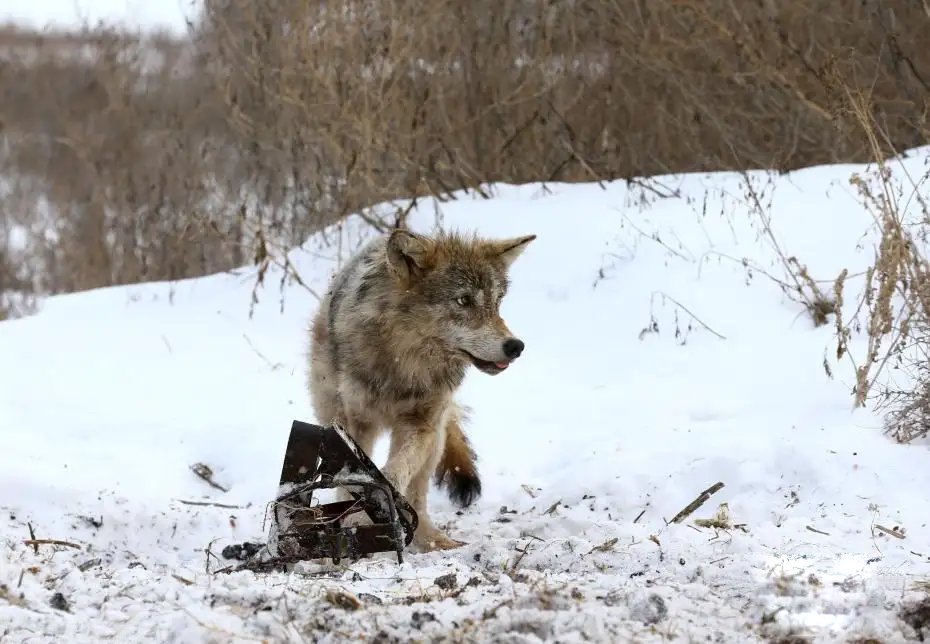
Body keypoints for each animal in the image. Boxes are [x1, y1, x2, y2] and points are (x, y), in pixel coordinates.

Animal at [306, 228, 532, 552]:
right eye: (463, 300)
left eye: (497, 302)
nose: (515, 346)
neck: (405, 365)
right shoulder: (357, 424)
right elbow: (357, 479)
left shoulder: (422, 423)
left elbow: (395, 471)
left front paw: (374, 508)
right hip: (332, 414)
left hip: (436, 438)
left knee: (418, 493)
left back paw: (433, 540)